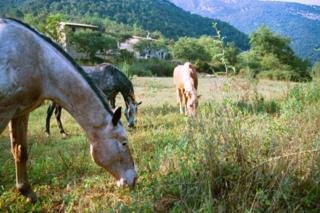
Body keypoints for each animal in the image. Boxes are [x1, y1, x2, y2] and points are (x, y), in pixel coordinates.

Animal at [0, 17, 136, 201]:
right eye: (123, 142)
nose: (134, 179)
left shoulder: (20, 111)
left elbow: (20, 151)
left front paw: (27, 192)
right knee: (52, 114)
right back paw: (52, 132)